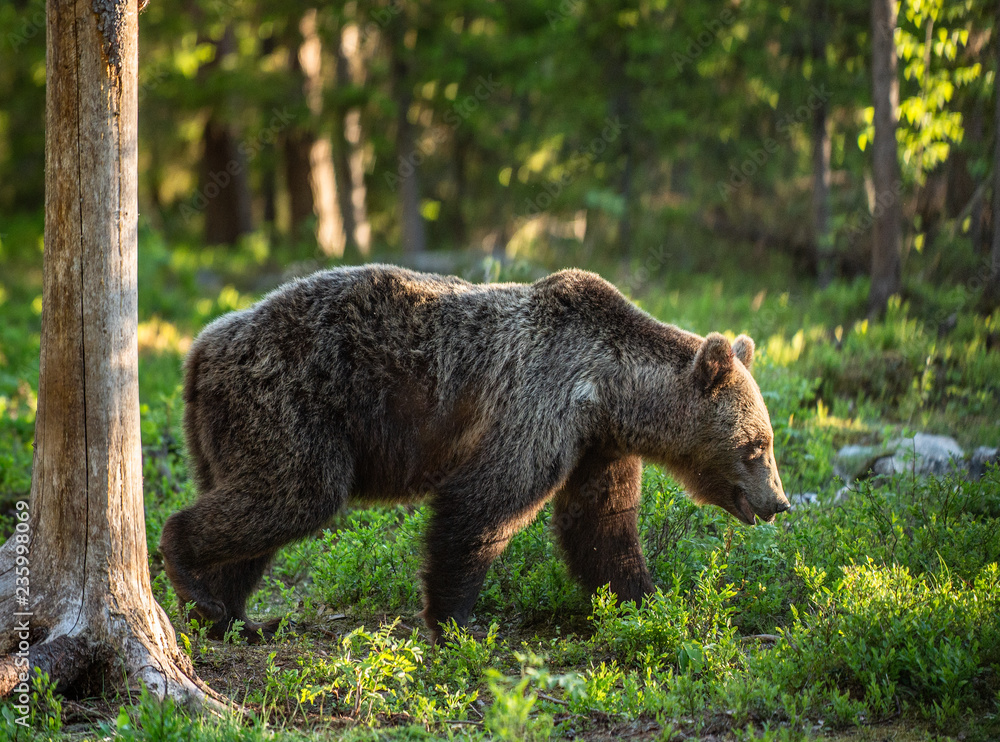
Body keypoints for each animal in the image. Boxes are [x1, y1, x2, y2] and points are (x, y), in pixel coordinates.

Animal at [160, 268, 788, 644]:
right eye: (755, 446)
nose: (778, 502)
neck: (609, 392)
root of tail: (201, 348)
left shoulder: (596, 446)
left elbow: (602, 526)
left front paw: (646, 599)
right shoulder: (537, 405)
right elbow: (483, 506)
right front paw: (458, 623)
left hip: (231, 431)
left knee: (257, 514)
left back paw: (230, 615)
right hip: (291, 402)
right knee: (292, 495)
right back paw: (190, 574)